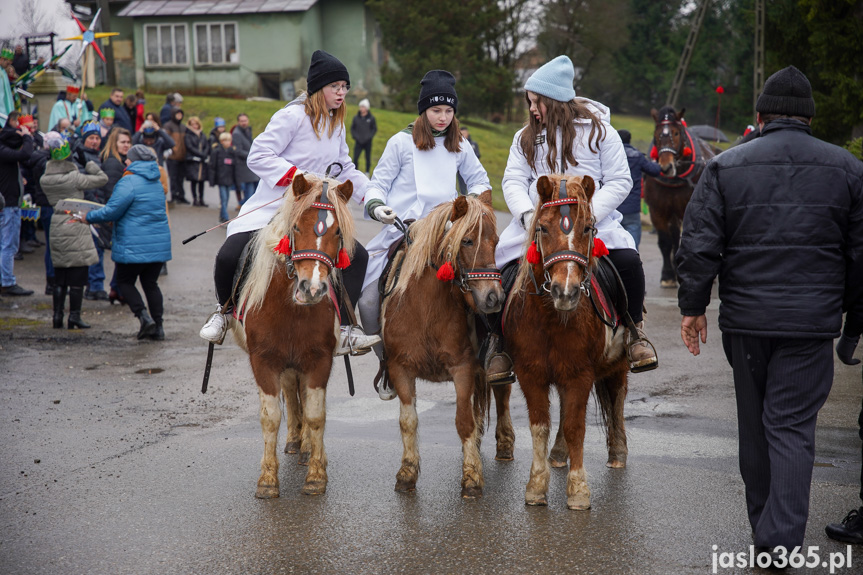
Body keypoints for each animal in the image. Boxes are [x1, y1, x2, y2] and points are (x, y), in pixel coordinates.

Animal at [231, 174, 356, 500]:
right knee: (290, 393)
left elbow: (315, 414)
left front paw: (316, 475)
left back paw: (308, 447)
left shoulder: (319, 360)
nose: (312, 289)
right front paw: (267, 479)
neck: (290, 308)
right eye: (297, 227)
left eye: (338, 231)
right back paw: (294, 441)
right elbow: (271, 416)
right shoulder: (264, 361)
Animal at [382, 190, 510, 500]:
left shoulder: (462, 369)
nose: (494, 298)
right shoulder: (400, 368)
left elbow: (464, 421)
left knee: (501, 396)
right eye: (467, 241)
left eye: (495, 242)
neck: (426, 309)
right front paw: (407, 473)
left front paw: (472, 477)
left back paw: (504, 444)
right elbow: (409, 421)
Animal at [502, 174, 632, 508]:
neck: (552, 317)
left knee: (617, 397)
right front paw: (536, 486)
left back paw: (618, 452)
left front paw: (578, 489)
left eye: (587, 228)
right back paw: (558, 454)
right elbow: (540, 426)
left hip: (618, 363)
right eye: (543, 228)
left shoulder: (579, 374)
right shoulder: (531, 373)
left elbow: (576, 427)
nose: (566, 291)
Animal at [644, 105, 720, 288]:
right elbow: (665, 242)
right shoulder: (657, 211)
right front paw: (668, 276)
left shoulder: (689, 210)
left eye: (676, 133)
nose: (666, 167)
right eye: (656, 134)